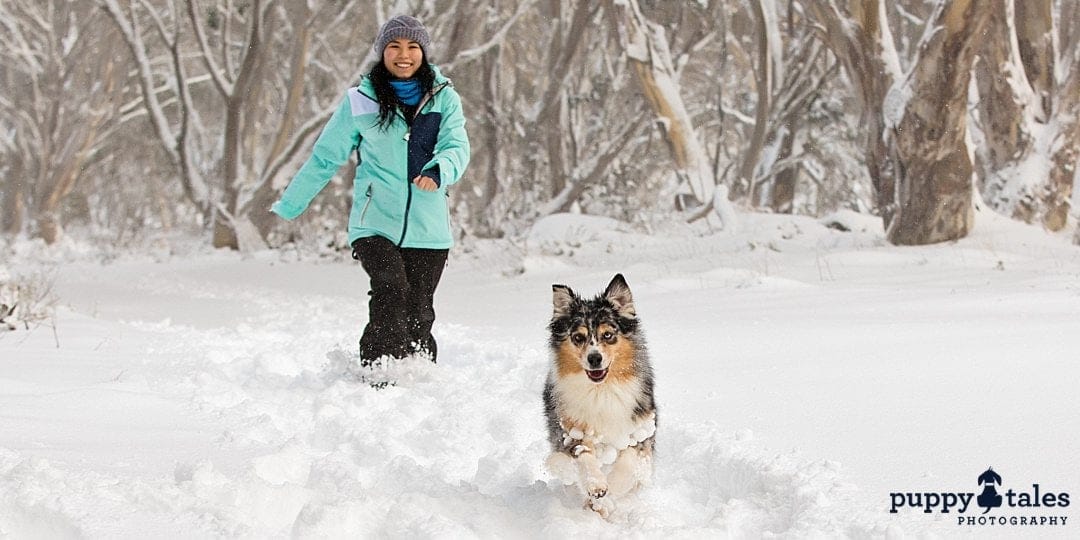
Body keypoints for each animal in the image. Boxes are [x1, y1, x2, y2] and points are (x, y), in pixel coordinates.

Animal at [544, 274, 652, 518]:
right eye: (578, 337)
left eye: (608, 335)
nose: (594, 358)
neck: (602, 389)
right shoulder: (569, 429)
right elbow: (583, 456)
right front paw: (597, 486)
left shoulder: (642, 430)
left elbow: (629, 460)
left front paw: (614, 487)